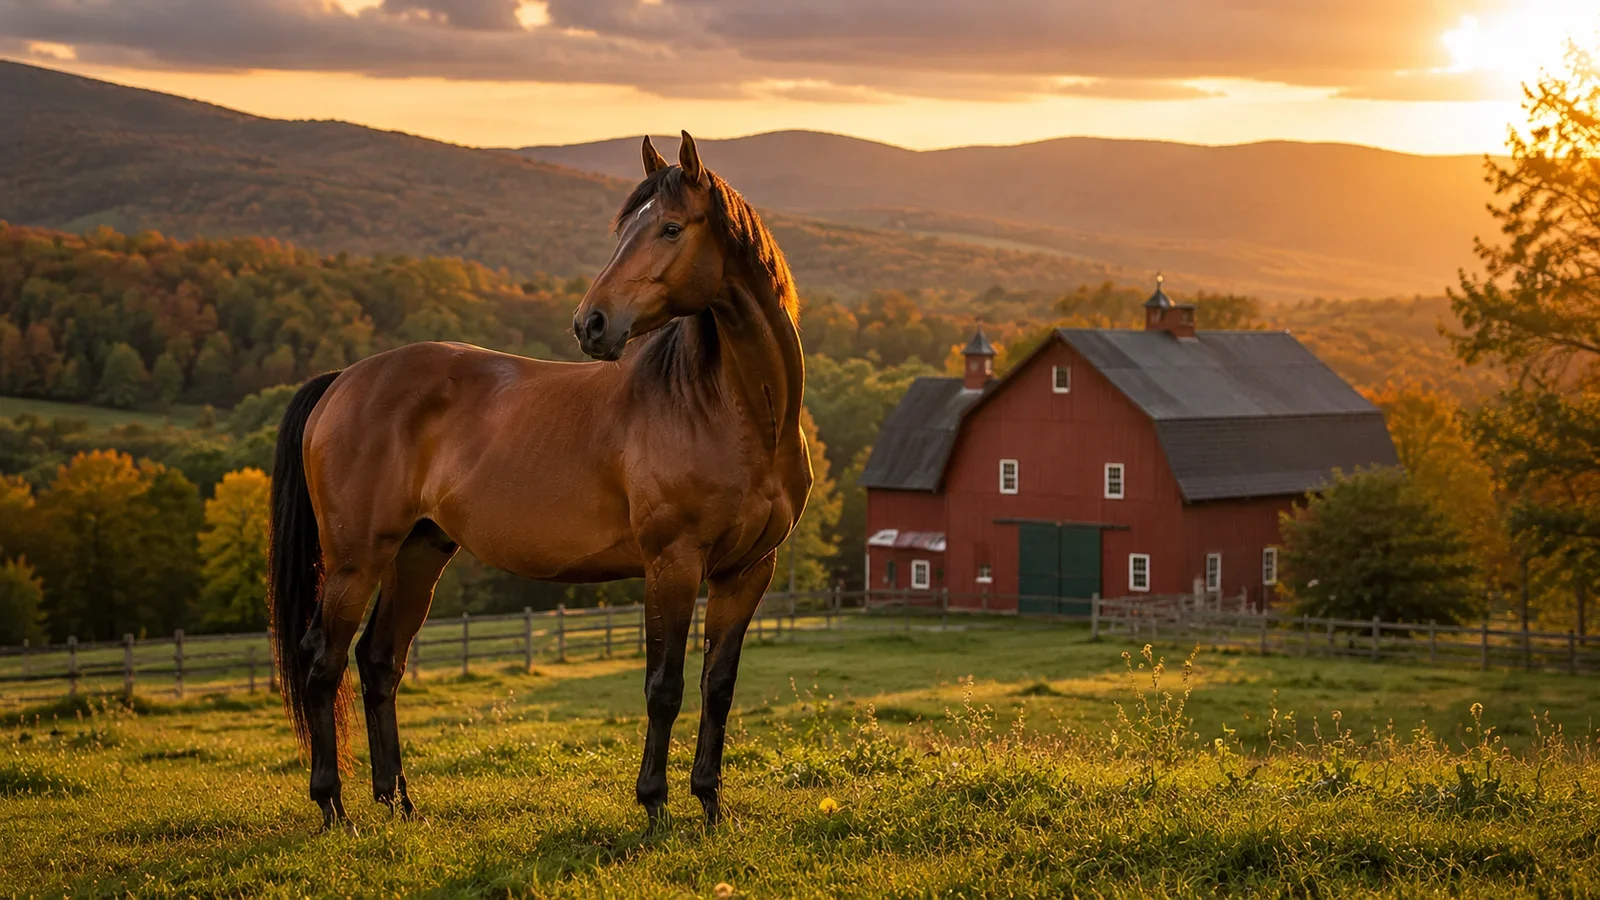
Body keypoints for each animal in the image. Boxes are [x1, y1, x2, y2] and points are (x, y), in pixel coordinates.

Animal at [266, 131, 812, 832]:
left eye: (669, 228)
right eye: (623, 230)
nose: (592, 323)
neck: (731, 410)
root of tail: (343, 380)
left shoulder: (747, 572)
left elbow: (717, 687)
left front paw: (712, 806)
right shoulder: (673, 563)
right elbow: (663, 687)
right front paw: (655, 806)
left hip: (418, 552)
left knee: (378, 662)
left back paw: (399, 801)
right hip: (354, 561)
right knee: (322, 663)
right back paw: (334, 806)